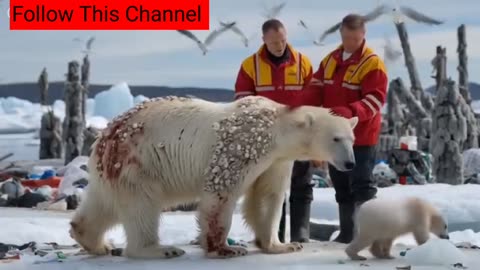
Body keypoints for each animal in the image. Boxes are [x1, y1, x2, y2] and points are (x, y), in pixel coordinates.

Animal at [69, 95, 358, 260]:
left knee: (102, 204)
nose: (350, 163)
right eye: (336, 138)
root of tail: (103, 137)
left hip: (114, 168)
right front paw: (226, 249)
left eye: (352, 139)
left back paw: (98, 243)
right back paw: (159, 249)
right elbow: (222, 190)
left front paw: (283, 246)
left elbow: (267, 196)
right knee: (143, 206)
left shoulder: (277, 160)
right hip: (138, 161)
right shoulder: (240, 145)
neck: (275, 128)